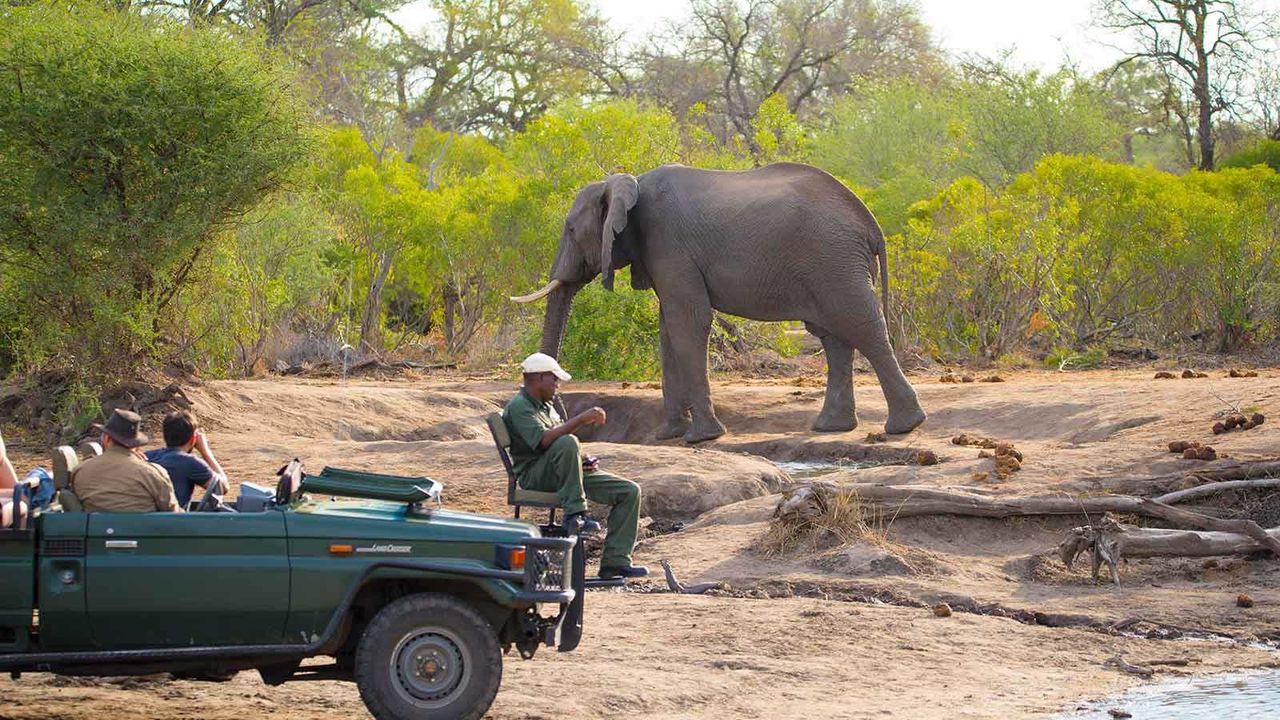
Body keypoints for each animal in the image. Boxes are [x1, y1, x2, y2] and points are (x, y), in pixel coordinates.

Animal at [512, 162, 931, 443]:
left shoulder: (669, 243)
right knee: (834, 337)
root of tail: (871, 224)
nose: (561, 414)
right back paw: (832, 427)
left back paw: (904, 426)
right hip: (830, 262)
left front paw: (702, 437)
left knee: (861, 325)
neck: (626, 182)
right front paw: (669, 435)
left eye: (570, 229)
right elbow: (669, 329)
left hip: (834, 259)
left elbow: (688, 322)